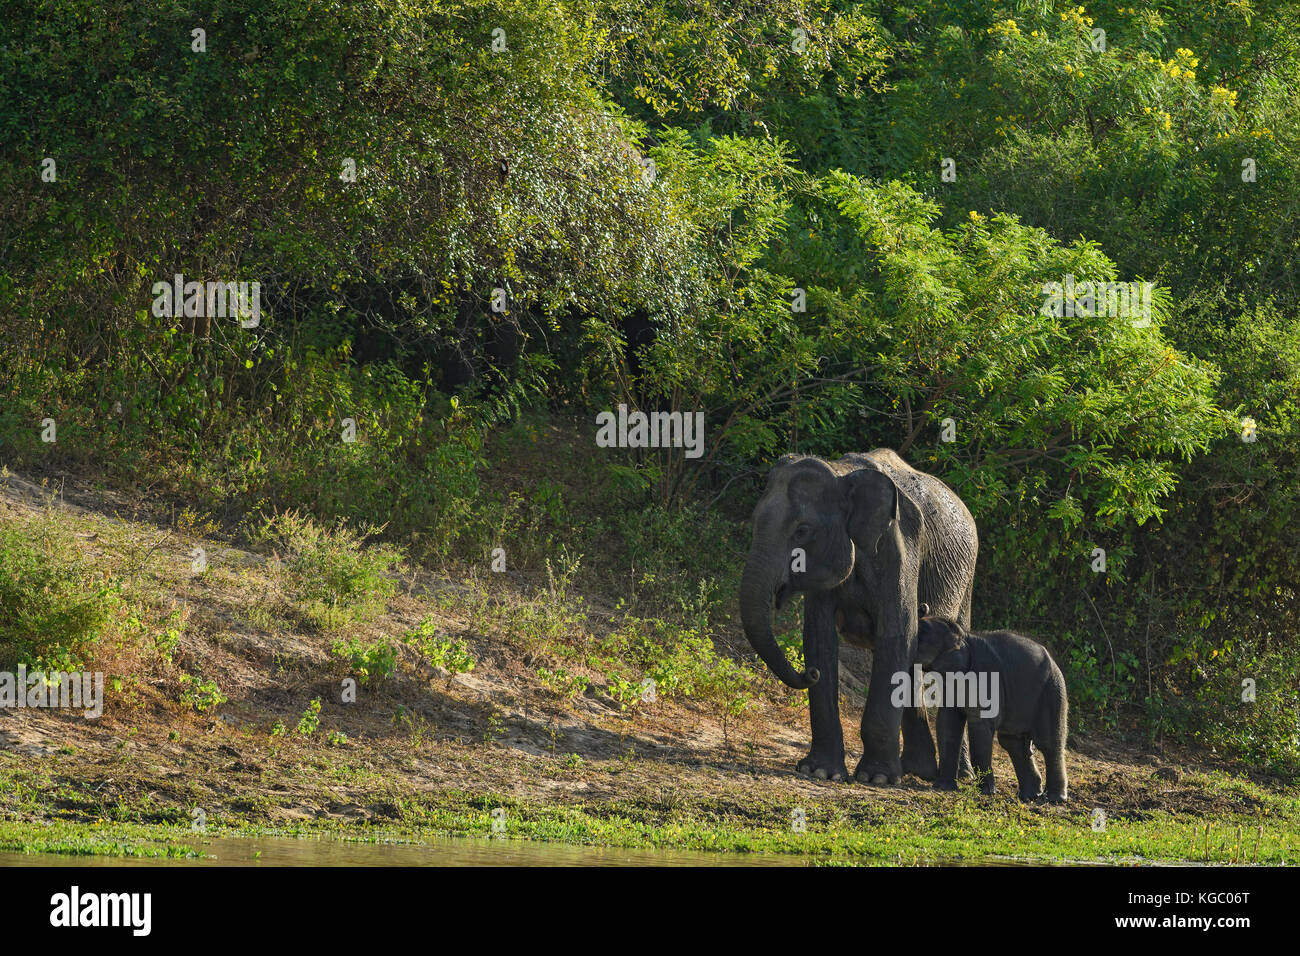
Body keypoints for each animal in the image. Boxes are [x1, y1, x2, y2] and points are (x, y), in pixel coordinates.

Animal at [739, 449, 979, 785]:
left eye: (802, 531)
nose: (809, 673)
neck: (841, 474)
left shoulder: (899, 548)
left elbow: (897, 633)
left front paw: (875, 778)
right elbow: (819, 637)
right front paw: (820, 772)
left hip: (967, 580)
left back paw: (961, 776)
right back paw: (917, 770)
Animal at [915, 616, 1069, 802]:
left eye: (921, 635)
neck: (964, 636)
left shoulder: (985, 678)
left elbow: (980, 727)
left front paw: (986, 791)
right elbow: (947, 722)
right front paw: (942, 787)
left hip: (1052, 691)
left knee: (1048, 743)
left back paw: (1054, 798)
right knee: (1013, 741)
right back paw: (1030, 795)